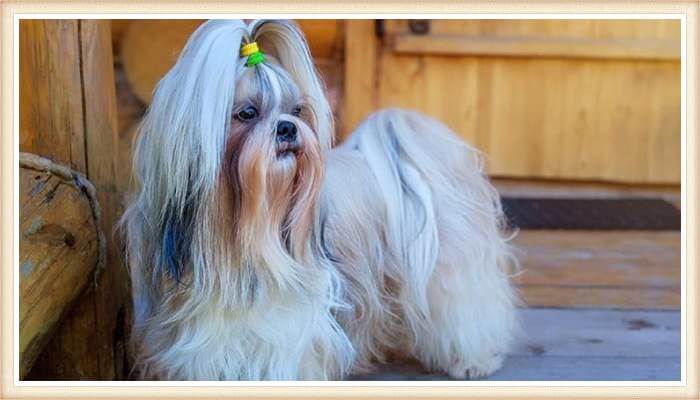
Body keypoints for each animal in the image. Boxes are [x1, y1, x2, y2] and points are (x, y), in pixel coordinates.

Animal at [120, 19, 516, 382]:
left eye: (296, 111)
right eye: (247, 113)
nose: (287, 128)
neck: (243, 241)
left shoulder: (287, 335)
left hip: (449, 269)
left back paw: (473, 361)